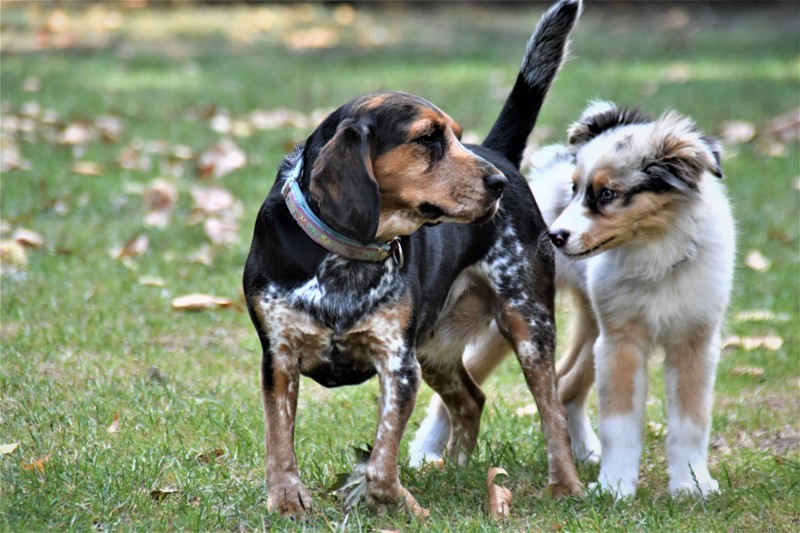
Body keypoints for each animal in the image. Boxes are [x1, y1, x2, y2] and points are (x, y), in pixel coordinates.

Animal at [242, 0, 580, 516]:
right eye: (428, 139)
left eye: (456, 136)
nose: (498, 184)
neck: (346, 256)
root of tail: (499, 153)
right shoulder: (278, 358)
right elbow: (279, 441)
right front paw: (287, 499)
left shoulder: (398, 364)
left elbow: (381, 463)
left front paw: (395, 500)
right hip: (435, 346)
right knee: (471, 399)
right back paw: (454, 468)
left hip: (528, 325)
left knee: (553, 412)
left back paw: (566, 485)